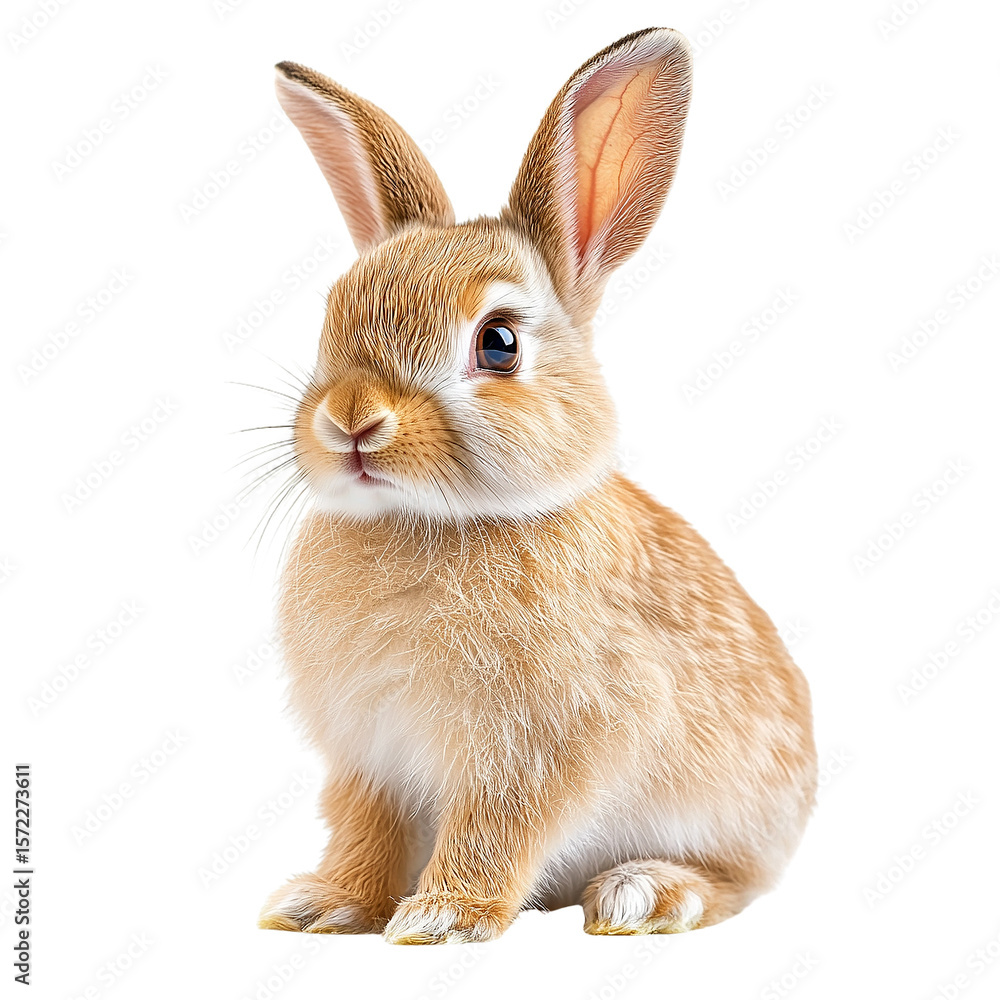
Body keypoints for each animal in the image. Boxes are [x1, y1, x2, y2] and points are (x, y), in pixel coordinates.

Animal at [257, 26, 817, 944]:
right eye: (332, 316)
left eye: (498, 344)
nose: (351, 420)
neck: (436, 521)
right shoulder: (369, 756)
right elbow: (366, 833)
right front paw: (323, 904)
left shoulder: (536, 747)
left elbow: (497, 827)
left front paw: (443, 917)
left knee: (734, 884)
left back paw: (648, 893)